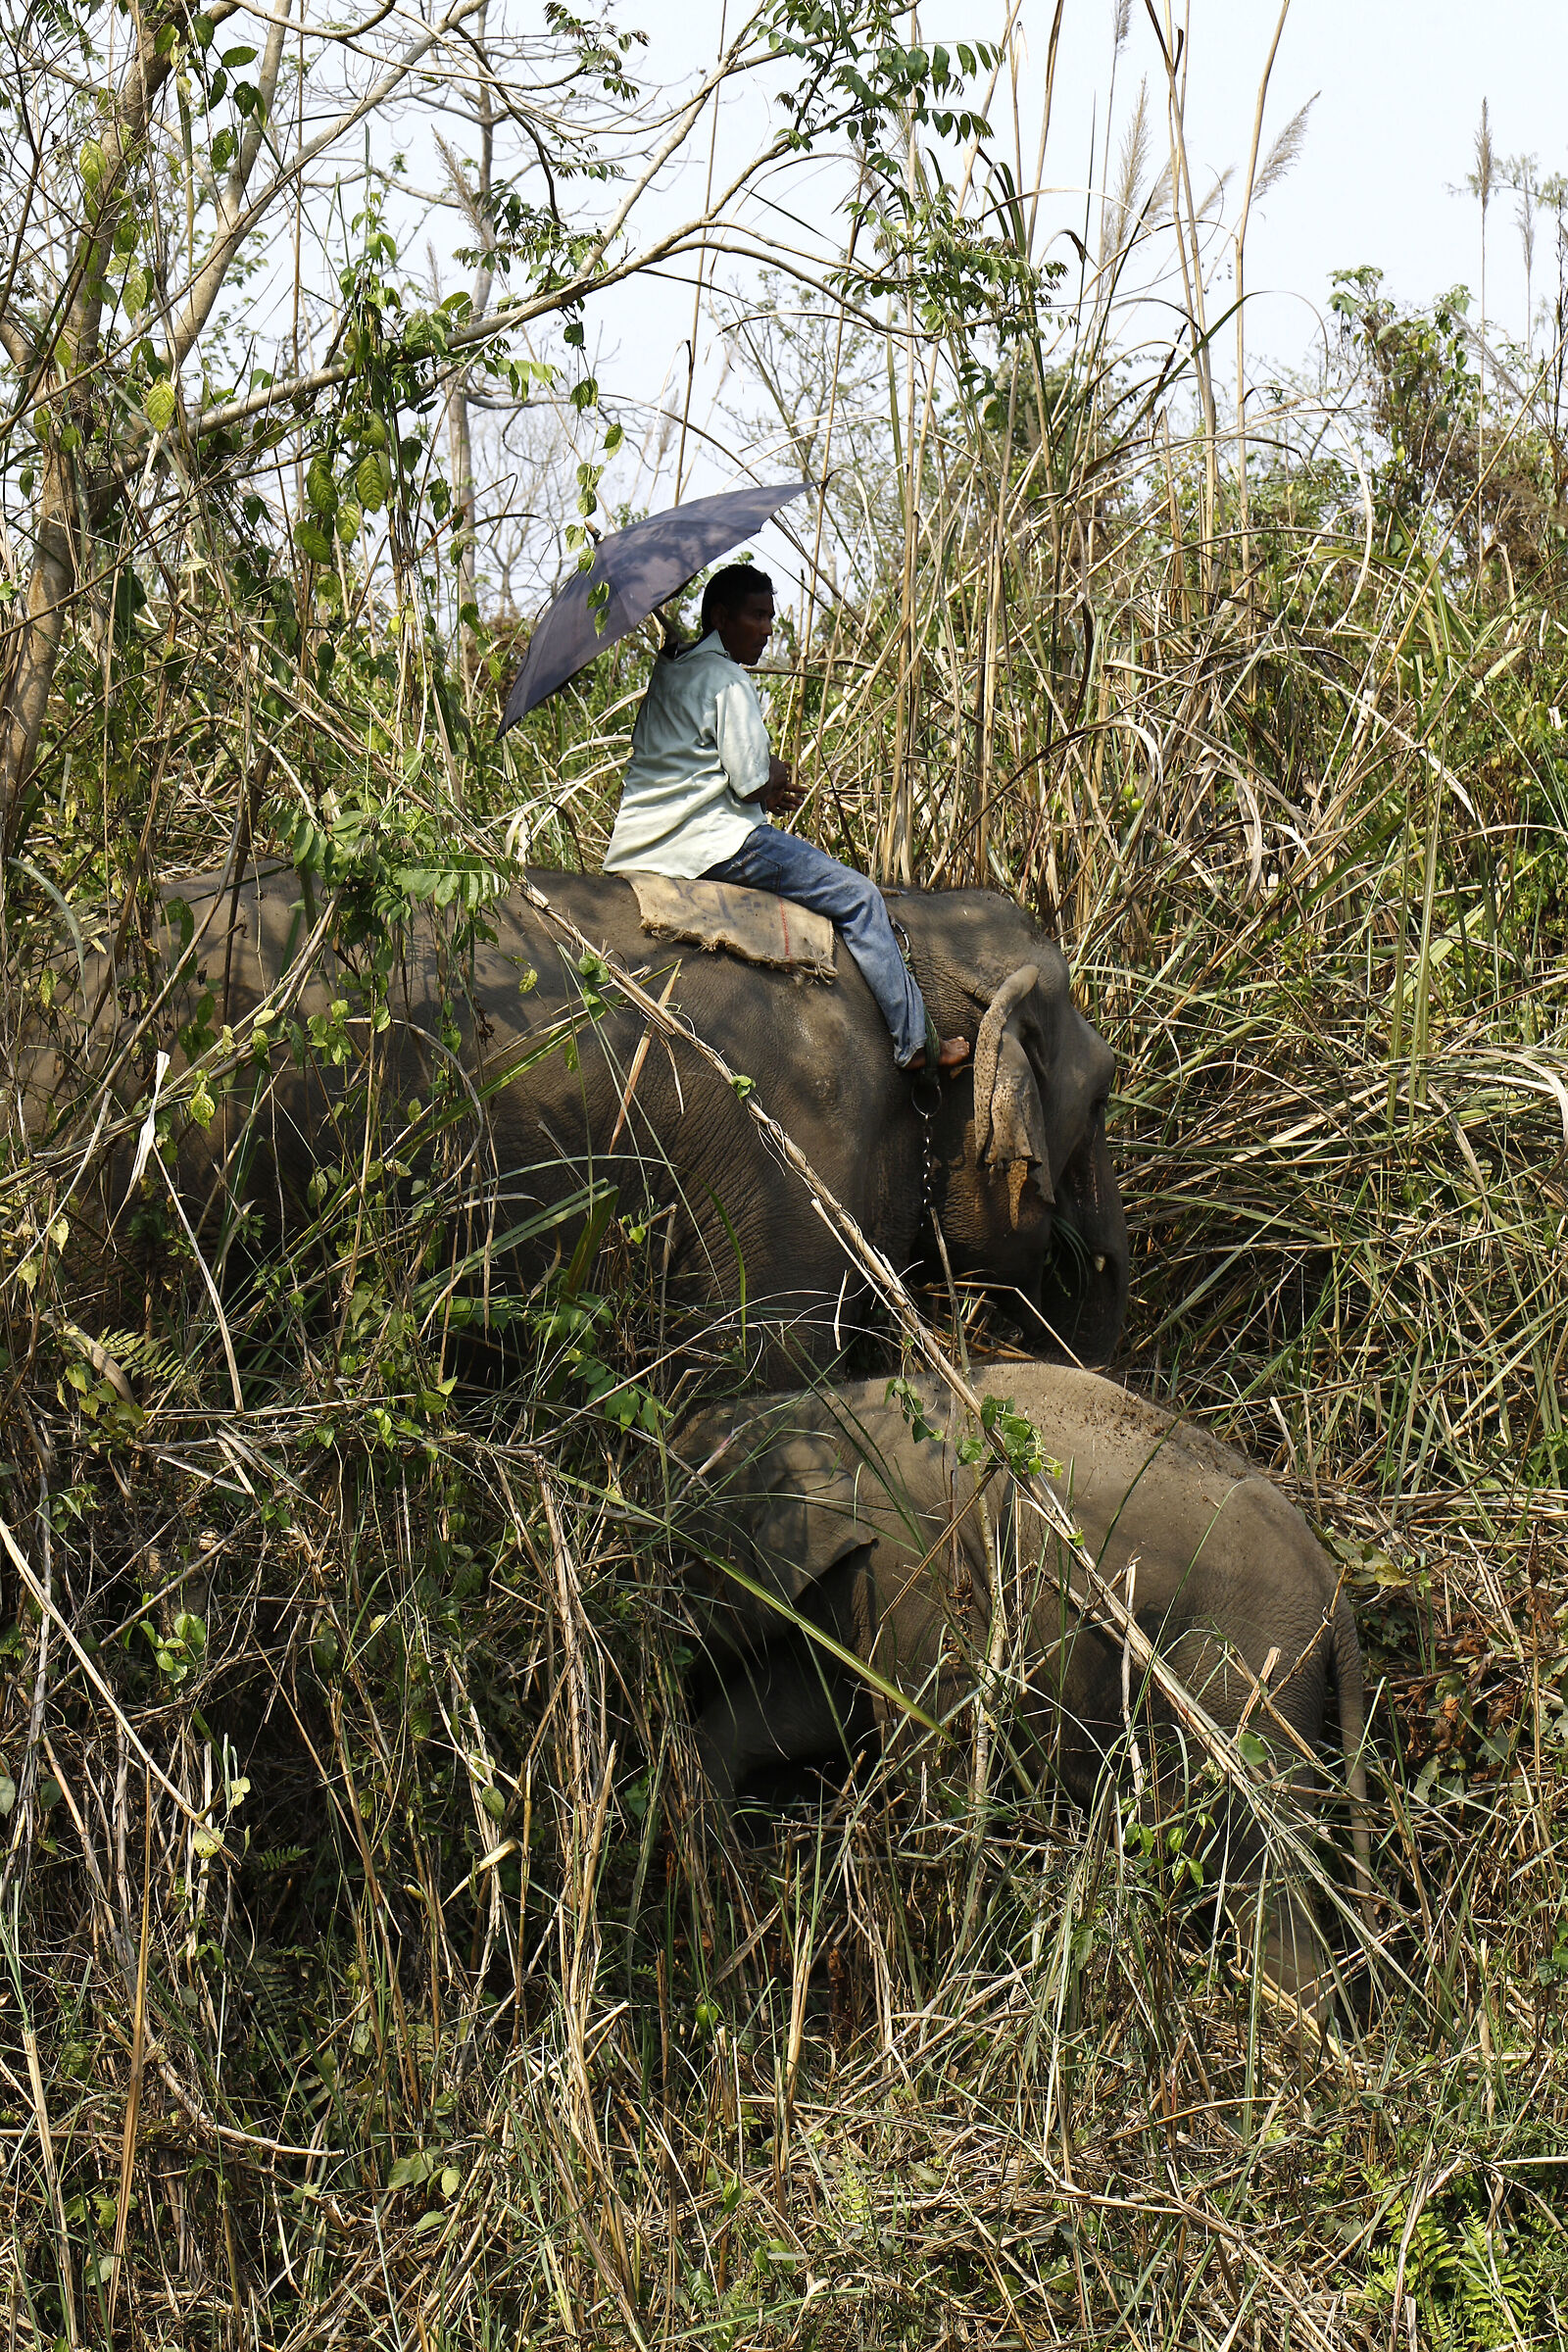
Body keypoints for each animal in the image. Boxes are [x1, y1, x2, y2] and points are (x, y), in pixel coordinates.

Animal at [674, 1360, 1372, 2011]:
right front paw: (719, 1836)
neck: (820, 1407)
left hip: (1248, 1675)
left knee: (1258, 1866)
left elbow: (928, 1752)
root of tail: (1335, 1596)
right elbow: (814, 1703)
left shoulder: (919, 1565)